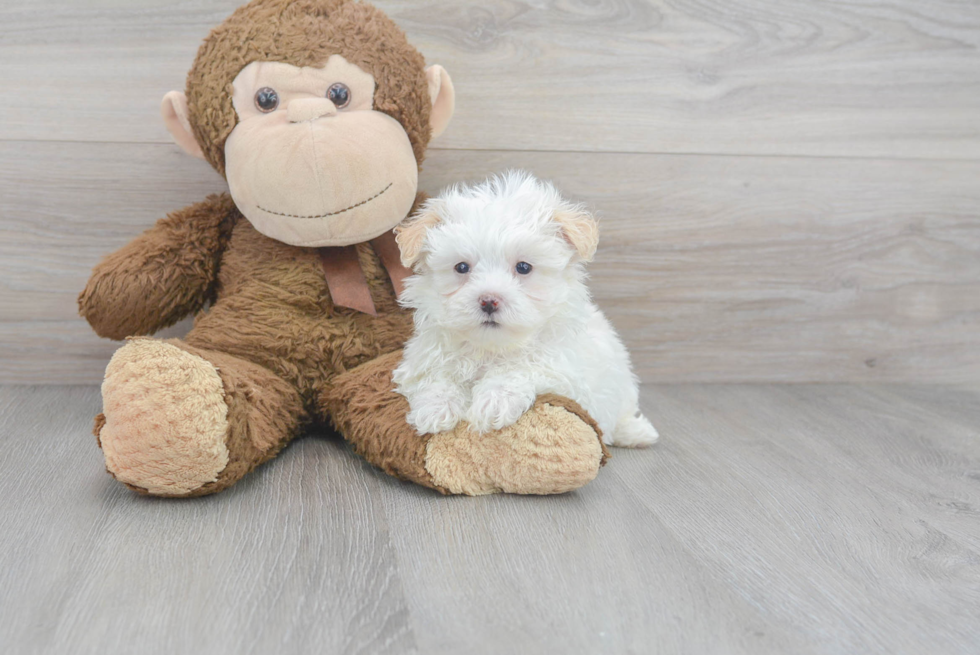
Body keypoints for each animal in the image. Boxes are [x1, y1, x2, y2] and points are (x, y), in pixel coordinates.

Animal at [390, 172, 660, 448]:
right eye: (461, 267)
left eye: (523, 267)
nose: (489, 300)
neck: (491, 349)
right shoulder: (422, 359)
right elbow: (435, 377)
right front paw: (436, 408)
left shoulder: (564, 368)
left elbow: (522, 366)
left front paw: (494, 400)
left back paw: (636, 432)